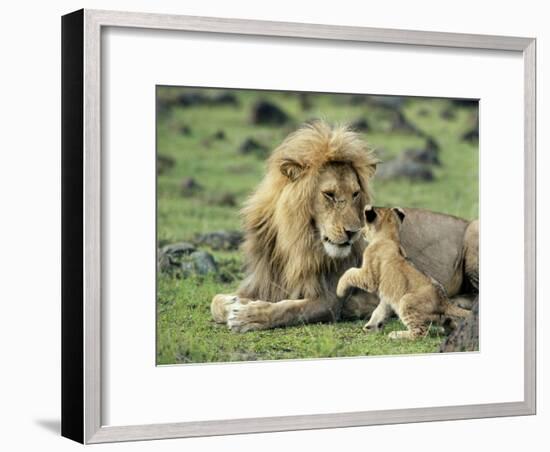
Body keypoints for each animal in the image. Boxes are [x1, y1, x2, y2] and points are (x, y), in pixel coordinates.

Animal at [211, 120, 478, 332]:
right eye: (329, 195)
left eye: (355, 194)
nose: (353, 232)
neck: (295, 242)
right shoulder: (263, 281)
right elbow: (215, 301)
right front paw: (234, 303)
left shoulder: (329, 300)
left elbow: (287, 309)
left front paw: (249, 316)